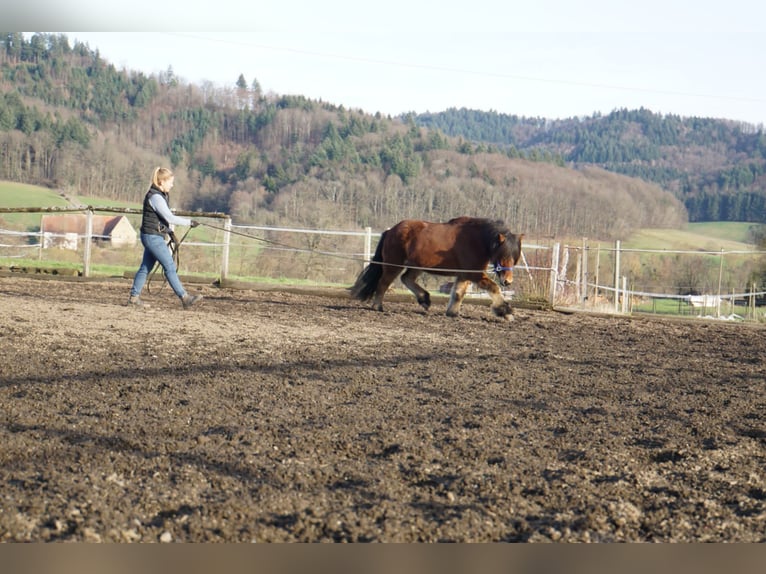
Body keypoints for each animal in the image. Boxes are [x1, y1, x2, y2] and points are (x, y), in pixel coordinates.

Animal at [352, 218, 524, 322]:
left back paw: (425, 299)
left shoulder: (464, 274)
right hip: (393, 265)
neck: (477, 241)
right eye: (503, 256)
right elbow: (493, 288)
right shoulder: (473, 273)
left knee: (406, 279)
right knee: (383, 283)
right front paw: (506, 312)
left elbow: (458, 293)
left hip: (416, 265)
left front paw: (452, 313)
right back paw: (378, 307)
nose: (508, 281)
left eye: (515, 258)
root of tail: (390, 231)